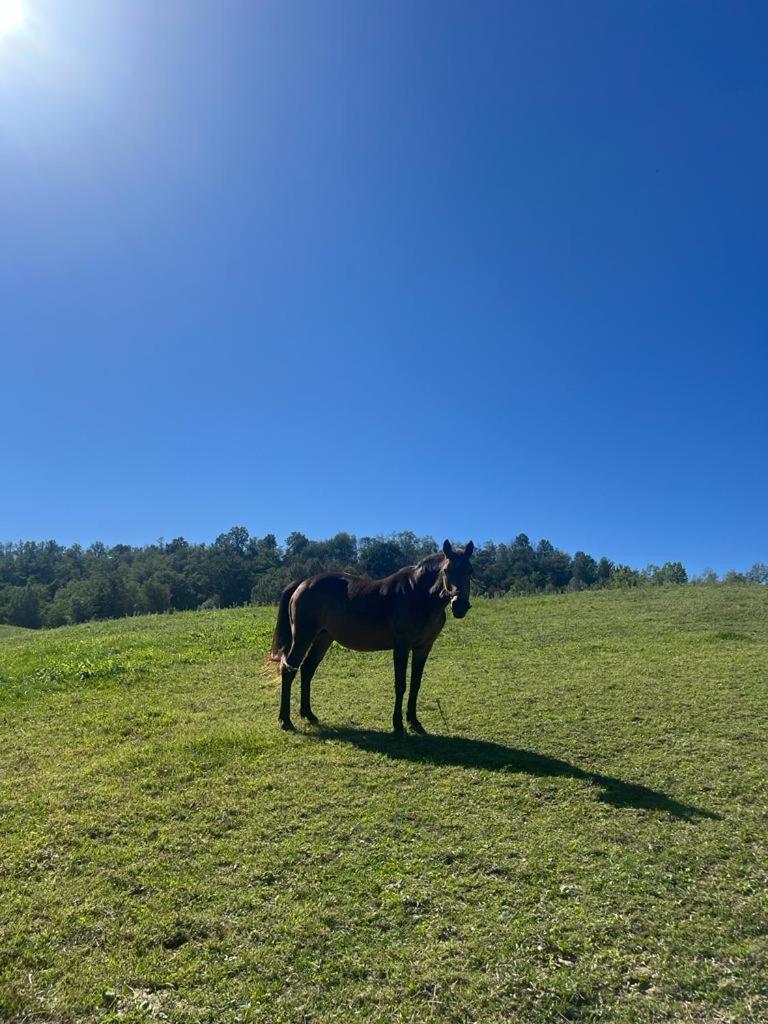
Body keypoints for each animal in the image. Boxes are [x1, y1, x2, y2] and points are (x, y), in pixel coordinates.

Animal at [270, 540, 475, 733]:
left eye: (470, 570)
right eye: (446, 570)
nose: (460, 605)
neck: (418, 595)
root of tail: (303, 583)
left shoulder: (423, 648)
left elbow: (415, 684)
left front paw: (414, 722)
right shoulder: (401, 646)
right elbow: (400, 684)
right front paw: (398, 725)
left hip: (323, 638)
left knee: (307, 670)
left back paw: (308, 714)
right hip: (303, 637)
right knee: (289, 669)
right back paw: (285, 720)